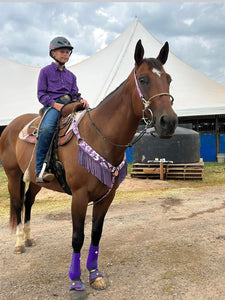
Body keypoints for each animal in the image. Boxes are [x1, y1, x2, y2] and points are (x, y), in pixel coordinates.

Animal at [0, 40, 178, 300]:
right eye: (143, 79)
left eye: (168, 78)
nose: (169, 122)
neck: (100, 136)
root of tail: (11, 126)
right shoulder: (80, 196)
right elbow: (77, 238)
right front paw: (76, 282)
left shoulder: (106, 196)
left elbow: (95, 234)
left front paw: (95, 274)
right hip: (13, 176)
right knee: (16, 204)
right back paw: (19, 244)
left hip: (35, 180)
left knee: (27, 203)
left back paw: (30, 239)